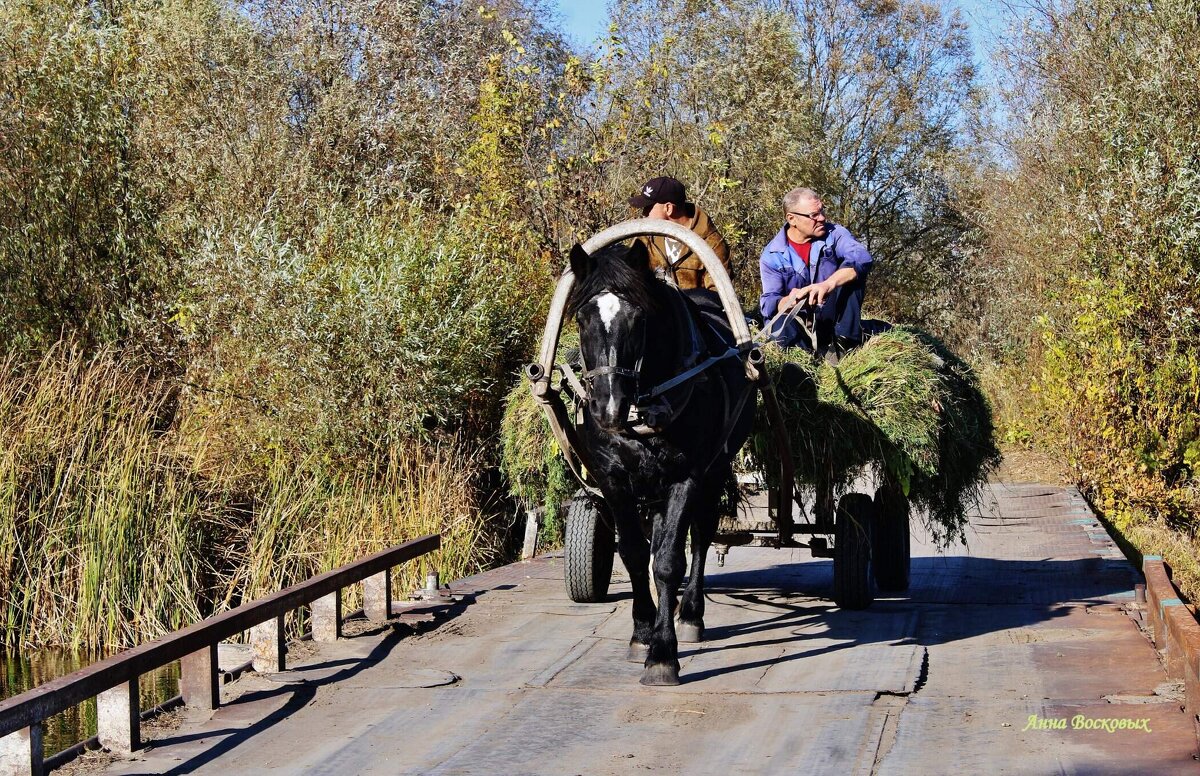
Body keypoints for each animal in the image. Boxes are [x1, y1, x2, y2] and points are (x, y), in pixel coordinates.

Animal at [568, 239, 753, 681]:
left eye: (639, 317)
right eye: (581, 317)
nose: (608, 406)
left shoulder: (687, 475)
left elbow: (669, 560)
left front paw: (663, 653)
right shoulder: (613, 478)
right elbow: (636, 554)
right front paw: (642, 632)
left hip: (715, 469)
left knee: (701, 535)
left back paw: (690, 614)